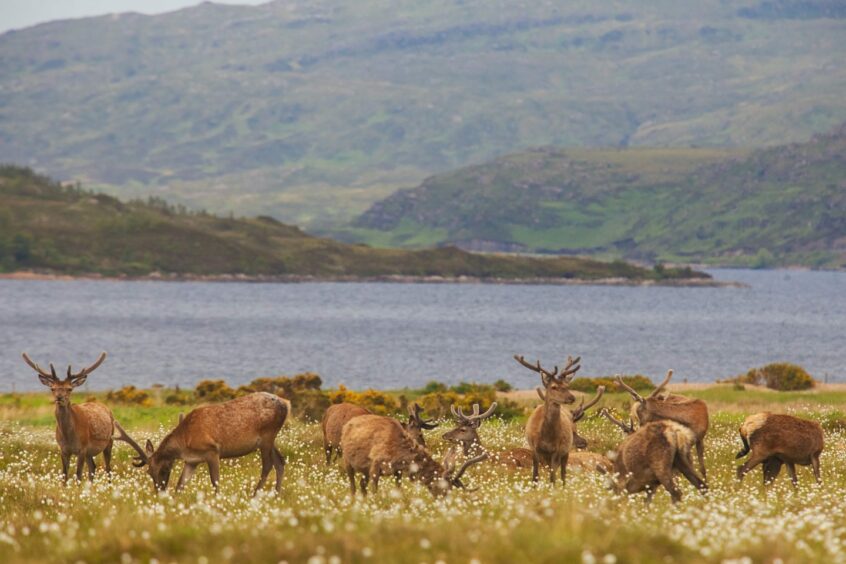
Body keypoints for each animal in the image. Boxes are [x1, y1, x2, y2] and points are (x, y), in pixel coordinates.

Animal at [22, 350, 147, 482]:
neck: (68, 435)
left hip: (109, 442)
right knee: (93, 467)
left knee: (108, 468)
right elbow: (64, 475)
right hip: (90, 452)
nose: (59, 398)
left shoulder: (82, 449)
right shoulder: (63, 450)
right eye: (52, 388)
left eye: (69, 388)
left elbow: (78, 475)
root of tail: (104, 406)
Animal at [132, 390, 290, 496]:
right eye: (149, 472)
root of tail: (286, 404)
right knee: (280, 461)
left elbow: (215, 482)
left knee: (268, 464)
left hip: (267, 436)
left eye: (164, 469)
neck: (185, 440)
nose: (160, 493)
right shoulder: (192, 461)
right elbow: (180, 485)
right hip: (269, 440)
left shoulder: (212, 451)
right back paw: (277, 494)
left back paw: (255, 495)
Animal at [338, 414, 484, 498]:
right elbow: (375, 490)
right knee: (353, 485)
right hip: (347, 460)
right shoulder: (375, 463)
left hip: (364, 470)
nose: (444, 501)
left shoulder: (397, 470)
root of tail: (347, 424)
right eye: (444, 487)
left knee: (362, 484)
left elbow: (398, 488)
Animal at [512, 354, 608, 486]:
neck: (546, 436)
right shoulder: (535, 449)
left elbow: (553, 477)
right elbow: (535, 475)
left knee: (563, 473)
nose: (572, 397)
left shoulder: (557, 450)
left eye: (567, 386)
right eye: (554, 387)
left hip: (565, 451)